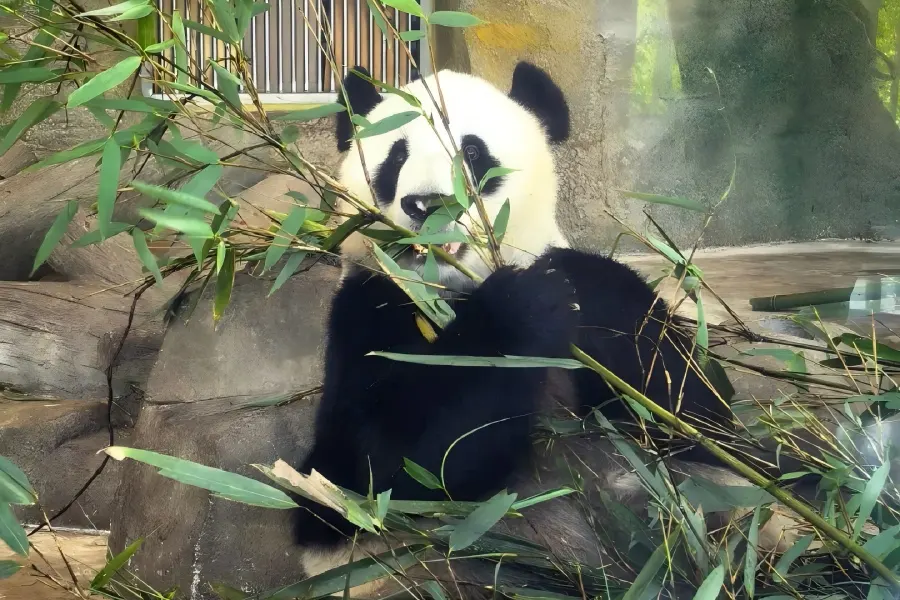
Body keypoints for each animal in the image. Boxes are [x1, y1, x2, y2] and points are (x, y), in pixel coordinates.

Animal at [287, 61, 809, 598]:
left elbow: (697, 417)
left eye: (472, 153)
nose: (427, 204)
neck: (453, 290)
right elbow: (379, 470)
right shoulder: (369, 310)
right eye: (395, 157)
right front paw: (522, 308)